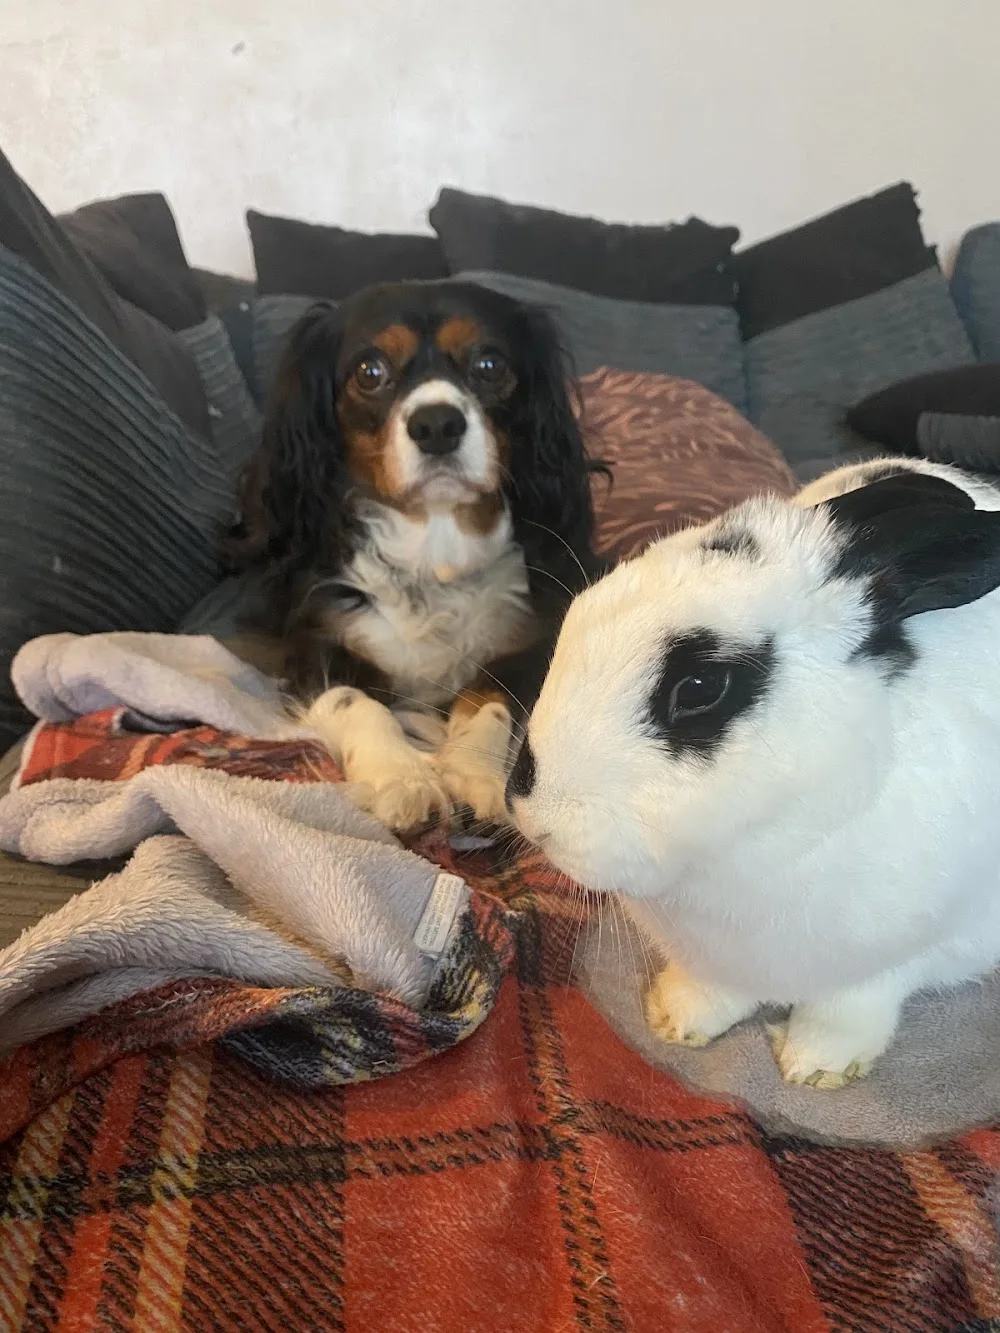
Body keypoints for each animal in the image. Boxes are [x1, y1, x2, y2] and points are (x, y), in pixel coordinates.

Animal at [505, 457, 1000, 1088]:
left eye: (699, 688)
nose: (528, 810)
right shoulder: (713, 958)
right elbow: (713, 991)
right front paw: (675, 1020)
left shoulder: (898, 958)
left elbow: (850, 1009)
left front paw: (815, 1068)